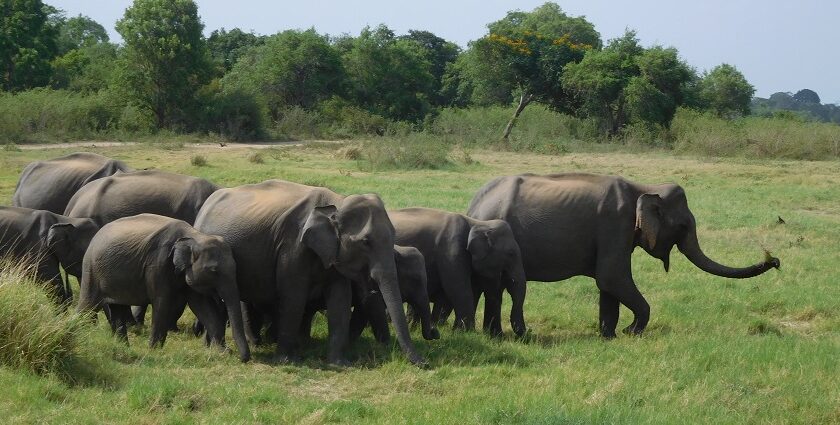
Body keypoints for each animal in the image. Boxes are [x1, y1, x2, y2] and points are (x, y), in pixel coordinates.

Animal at [76, 214, 249, 360]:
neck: (195, 236)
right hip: (91, 270)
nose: (243, 359)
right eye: (214, 271)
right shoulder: (157, 264)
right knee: (87, 305)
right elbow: (162, 301)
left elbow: (201, 306)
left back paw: (124, 346)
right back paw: (79, 335)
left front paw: (223, 352)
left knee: (117, 308)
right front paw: (154, 350)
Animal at [196, 179, 426, 364]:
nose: (423, 363)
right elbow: (294, 296)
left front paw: (339, 363)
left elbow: (340, 299)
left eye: (394, 234)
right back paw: (251, 345)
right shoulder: (292, 246)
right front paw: (287, 361)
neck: (336, 202)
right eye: (365, 242)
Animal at [390, 207, 528, 336]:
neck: (477, 223)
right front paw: (466, 332)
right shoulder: (451, 251)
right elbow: (458, 288)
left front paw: (459, 331)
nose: (528, 332)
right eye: (511, 254)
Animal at [466, 173, 780, 338]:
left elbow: (608, 285)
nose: (774, 260)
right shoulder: (615, 224)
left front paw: (608, 335)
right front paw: (631, 332)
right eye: (682, 226)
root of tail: (475, 203)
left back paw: (493, 335)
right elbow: (612, 278)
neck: (644, 187)